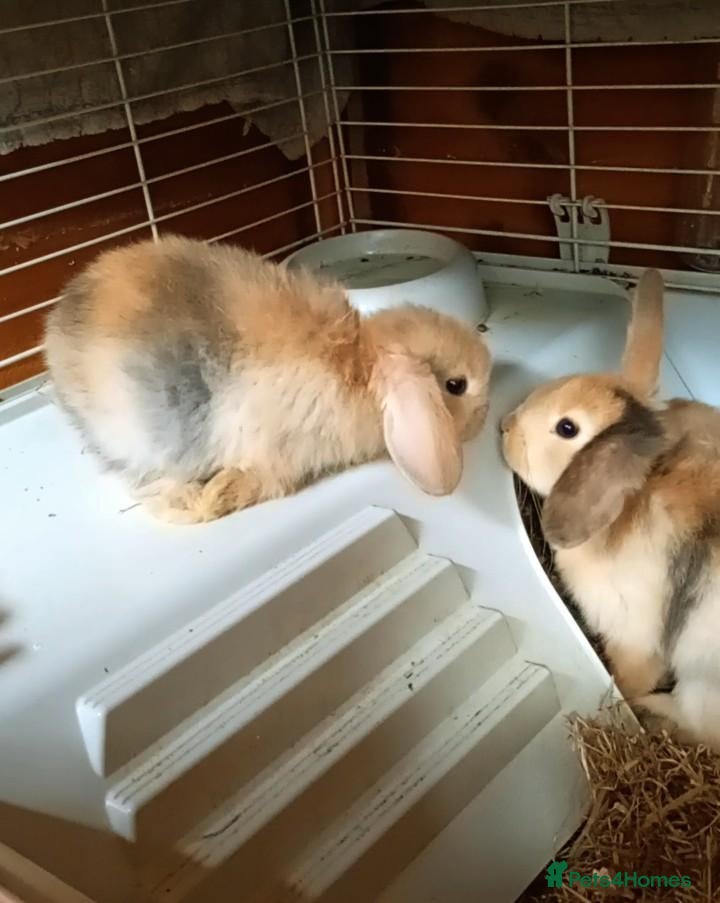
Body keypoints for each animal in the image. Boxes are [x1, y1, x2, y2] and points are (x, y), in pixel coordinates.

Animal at [44, 235, 491, 524]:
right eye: (456, 385)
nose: (486, 412)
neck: (359, 364)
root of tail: (57, 338)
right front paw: (219, 496)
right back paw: (193, 502)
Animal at [500, 268, 720, 750]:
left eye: (567, 428)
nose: (504, 427)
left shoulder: (635, 637)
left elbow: (630, 676)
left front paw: (624, 698)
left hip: (701, 688)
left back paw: (653, 714)